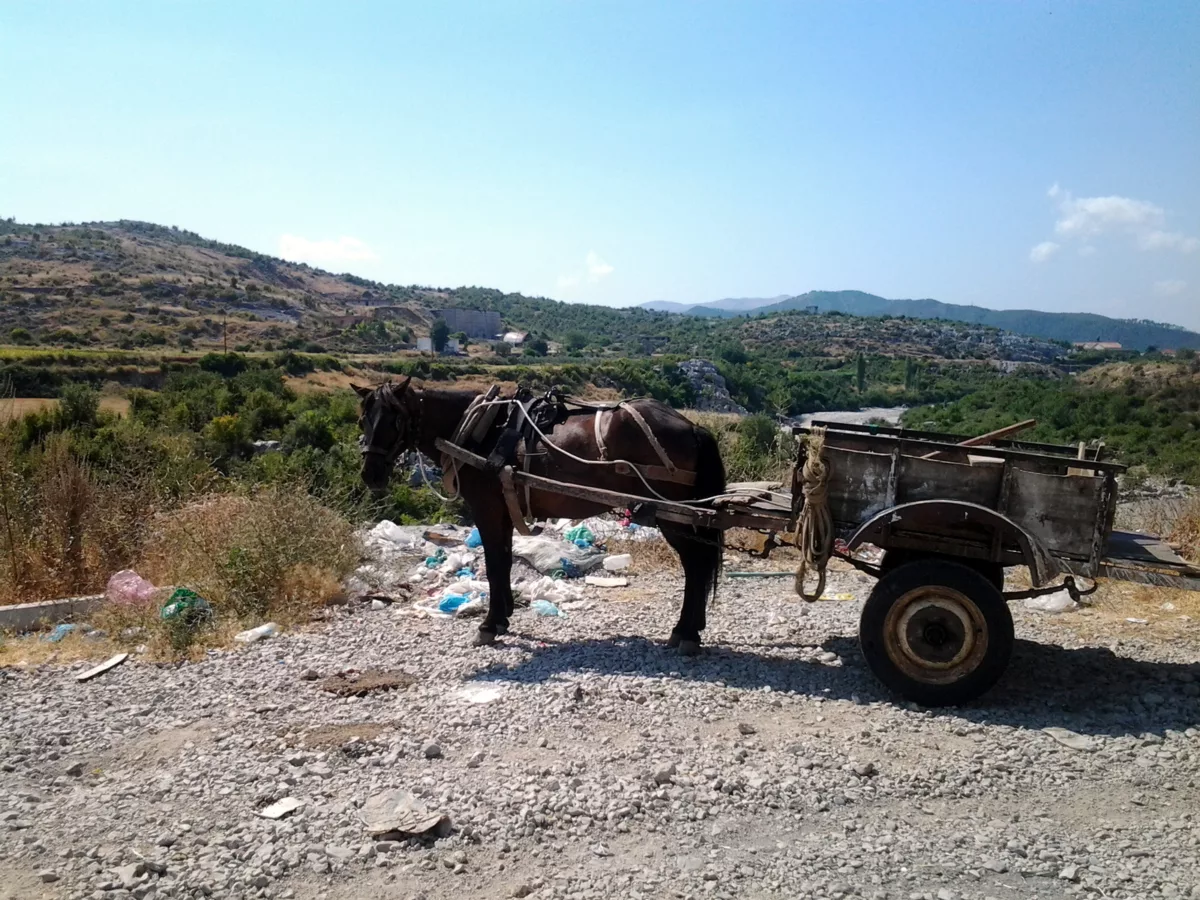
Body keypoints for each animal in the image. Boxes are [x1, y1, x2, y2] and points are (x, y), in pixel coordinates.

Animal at [350, 379, 724, 657]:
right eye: (363, 420)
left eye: (394, 420)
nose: (371, 475)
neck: (482, 431)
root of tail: (691, 426)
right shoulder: (502, 512)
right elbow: (501, 562)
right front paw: (503, 616)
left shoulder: (486, 510)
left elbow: (493, 564)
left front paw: (488, 625)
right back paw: (689, 630)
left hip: (674, 516)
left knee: (696, 566)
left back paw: (686, 633)